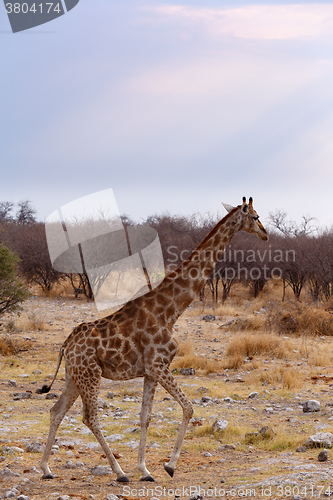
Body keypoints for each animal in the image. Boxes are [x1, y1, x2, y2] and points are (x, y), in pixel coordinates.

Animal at [38, 197, 268, 482]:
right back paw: (119, 472)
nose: (266, 235)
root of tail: (65, 345)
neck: (170, 312)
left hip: (74, 375)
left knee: (56, 411)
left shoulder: (149, 371)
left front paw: (145, 470)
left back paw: (46, 468)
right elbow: (188, 408)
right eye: (255, 216)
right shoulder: (159, 365)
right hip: (90, 375)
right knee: (90, 418)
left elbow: (145, 417)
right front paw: (170, 465)